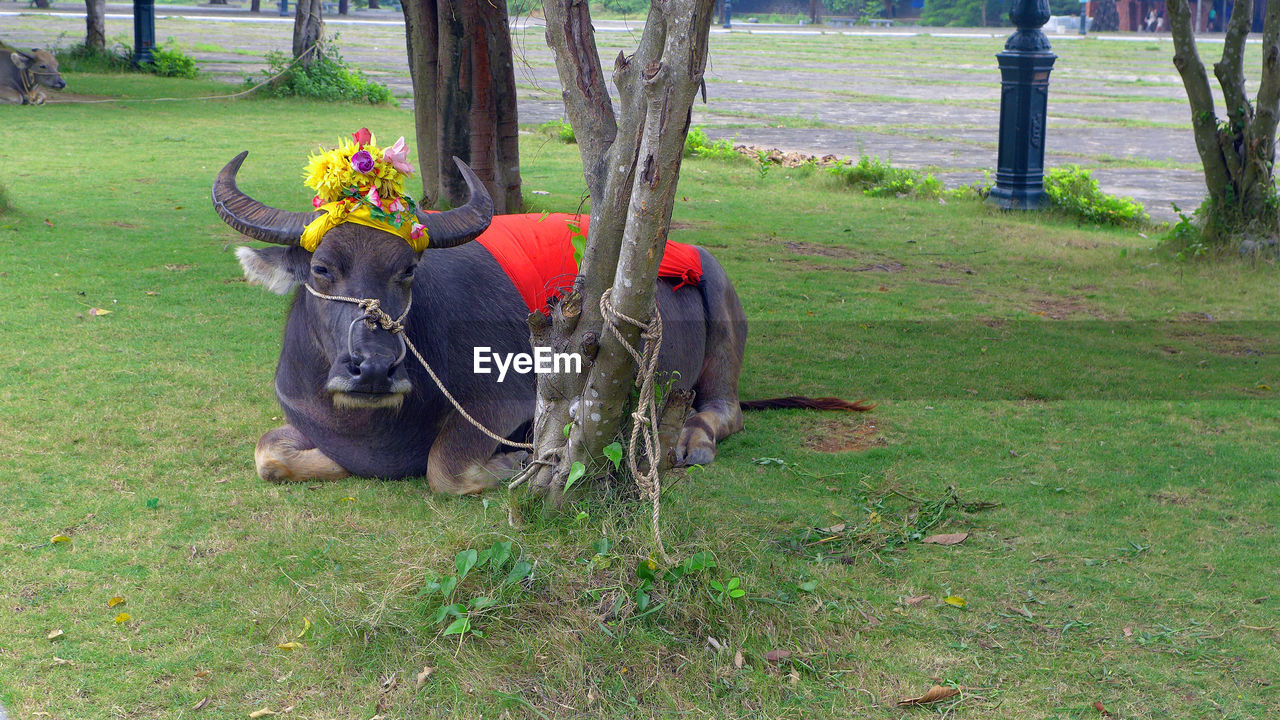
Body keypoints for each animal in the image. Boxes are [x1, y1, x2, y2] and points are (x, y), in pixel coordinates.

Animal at [215, 148, 865, 489]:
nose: (373, 369)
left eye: (407, 271)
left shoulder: (509, 401)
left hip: (725, 319)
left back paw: (689, 437)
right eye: (323, 269)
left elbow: (444, 467)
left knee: (725, 409)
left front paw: (522, 461)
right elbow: (269, 455)